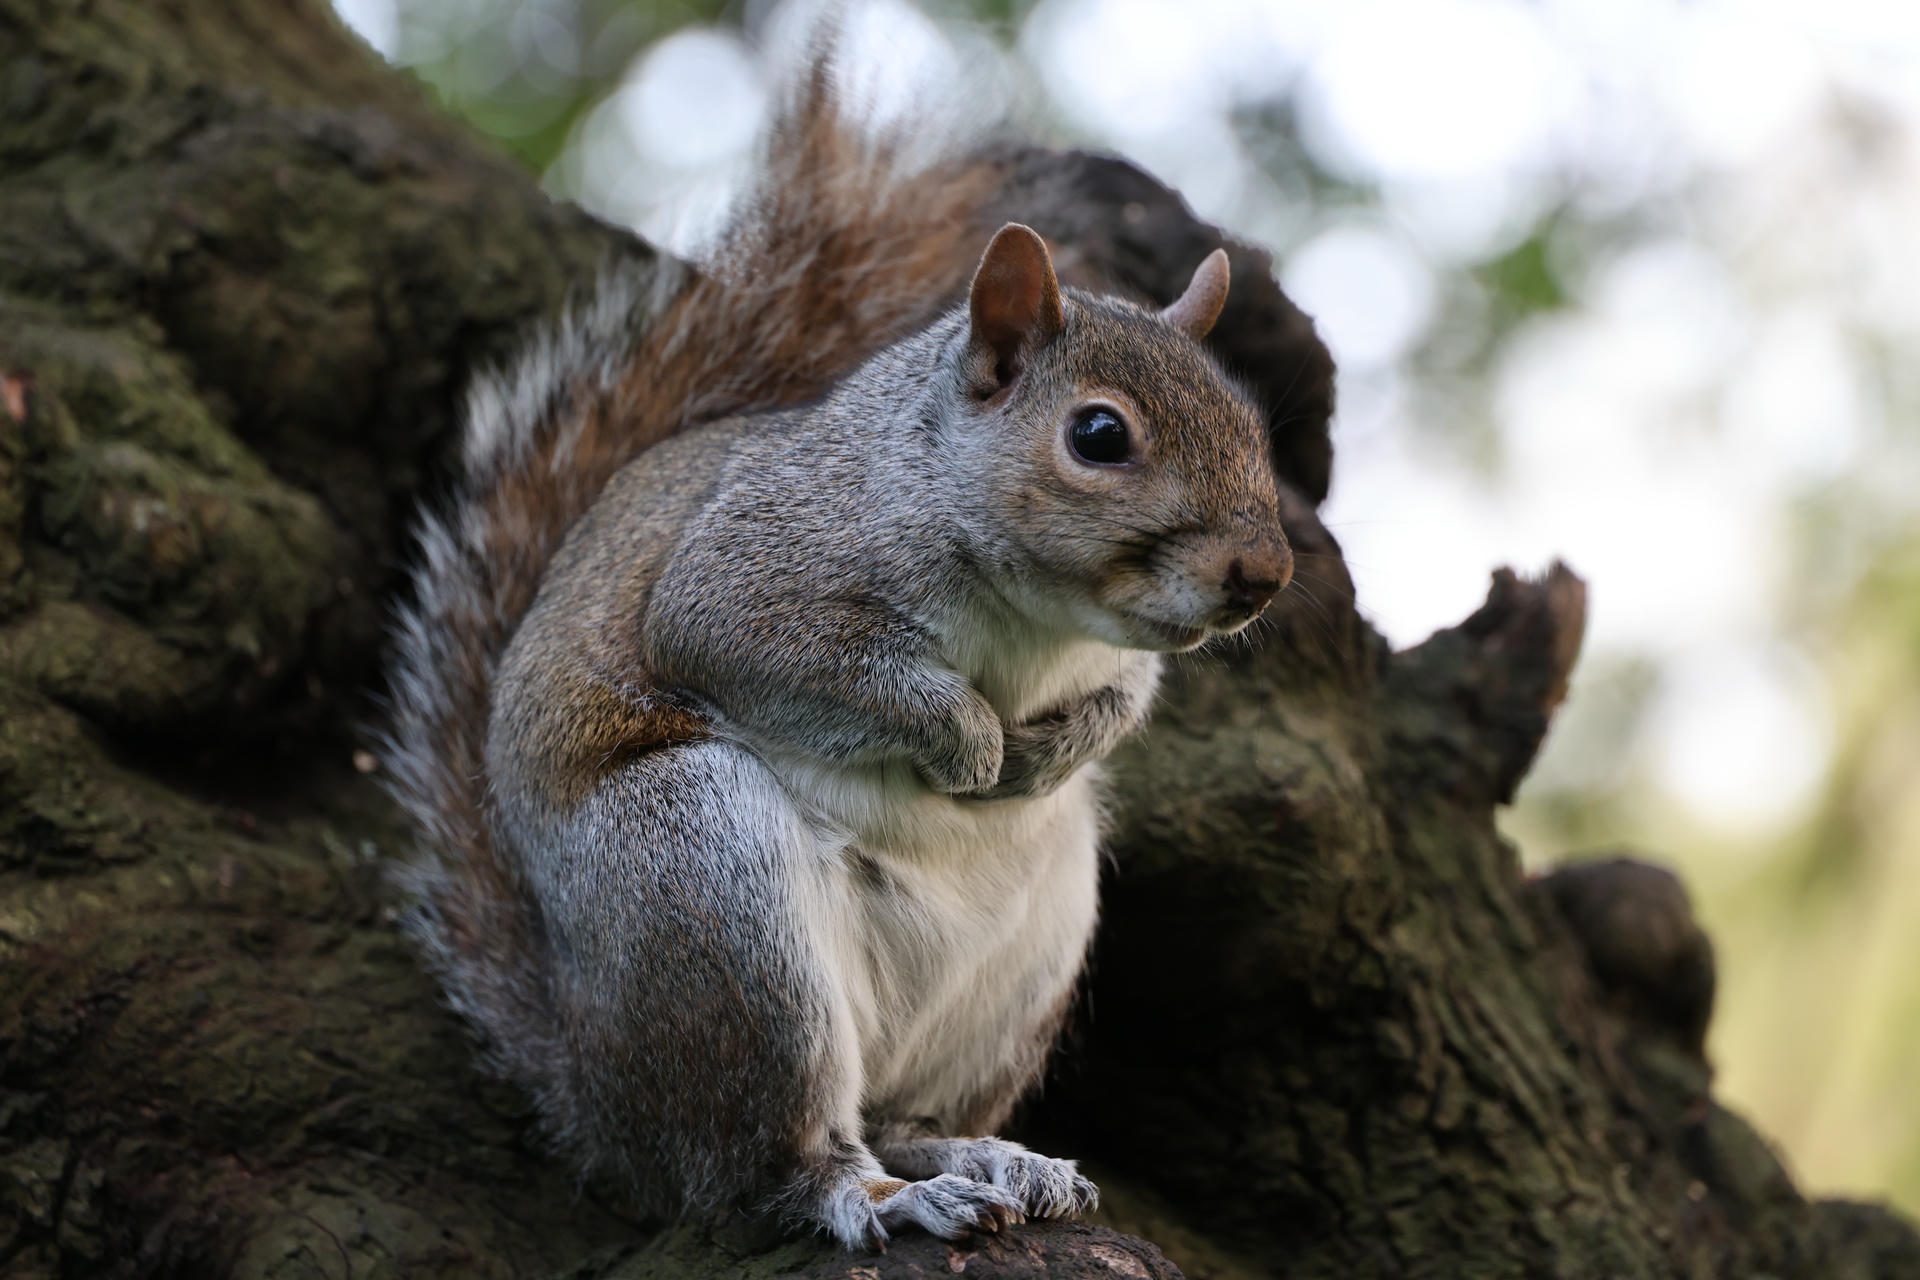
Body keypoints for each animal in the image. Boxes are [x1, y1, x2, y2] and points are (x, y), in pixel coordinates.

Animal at [385, 69, 1293, 1250]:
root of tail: (601, 1104)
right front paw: (968, 741)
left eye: (1251, 425)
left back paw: (985, 1155)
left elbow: (1125, 694)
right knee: (774, 1167)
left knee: (902, 1115)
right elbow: (771, 649)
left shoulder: (1115, 658)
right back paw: (883, 1195)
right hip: (703, 885)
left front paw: (1050, 750)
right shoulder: (753, 573)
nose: (1264, 573)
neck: (1037, 622)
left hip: (1028, 958)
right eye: (1099, 435)